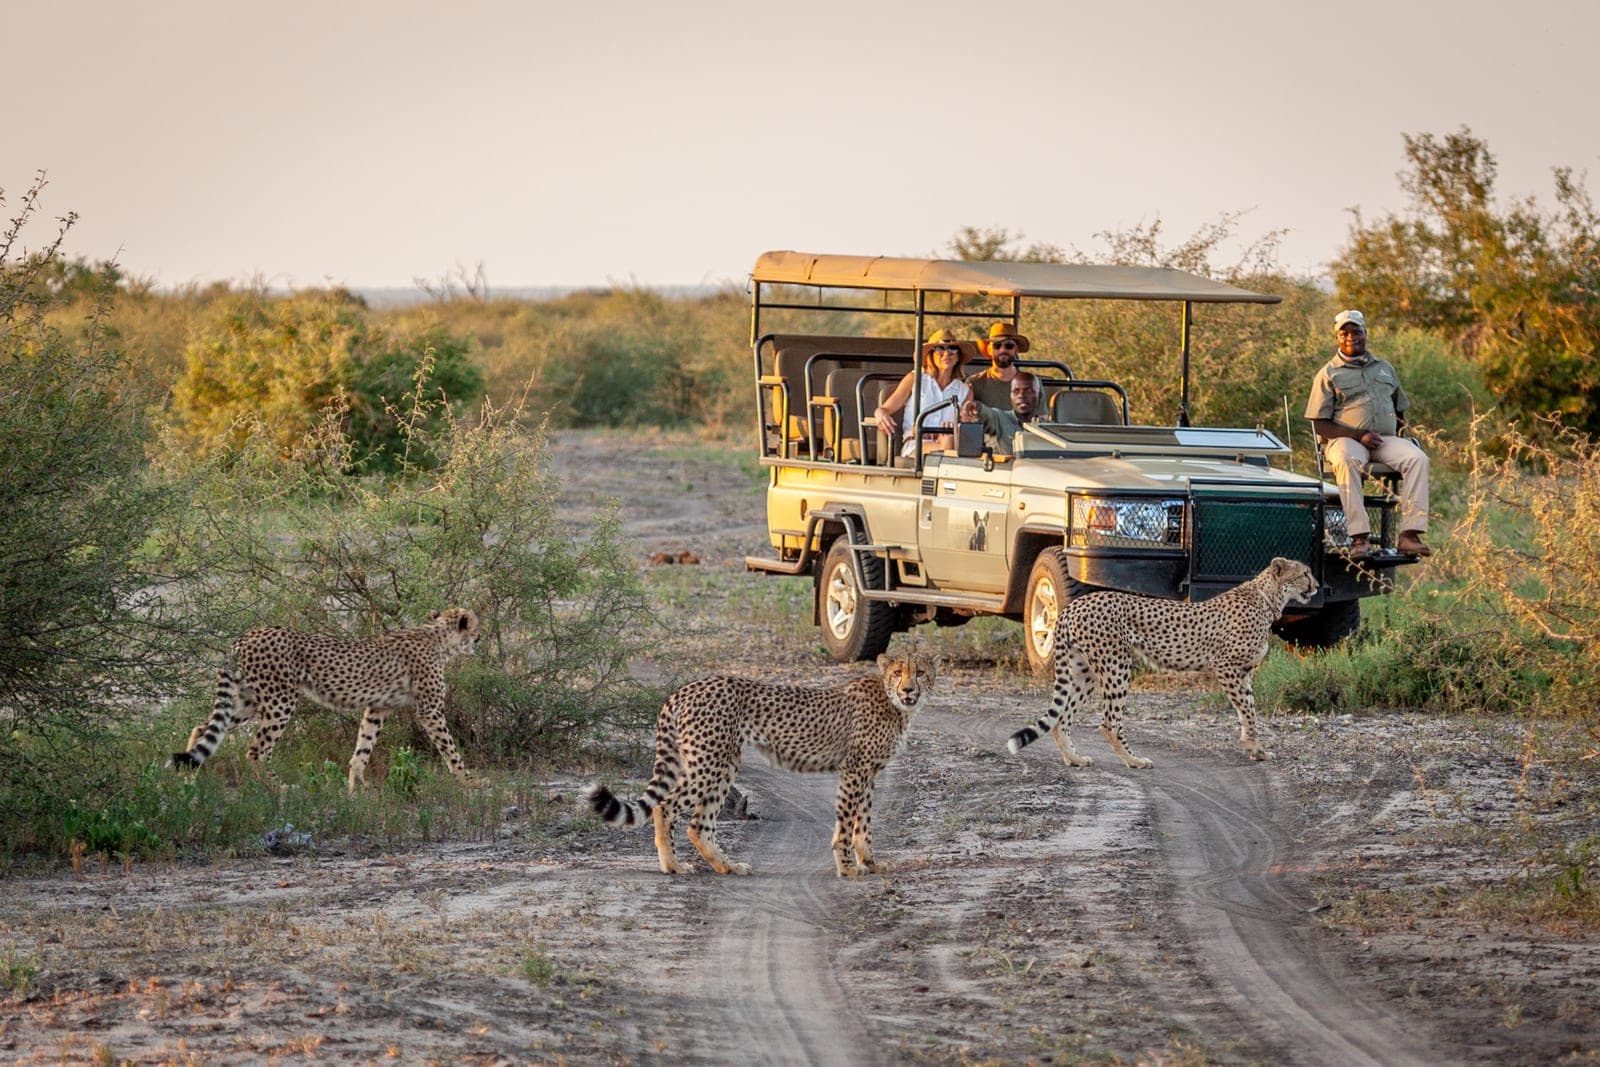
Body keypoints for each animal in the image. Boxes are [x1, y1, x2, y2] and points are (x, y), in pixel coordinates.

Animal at [170, 608, 481, 793]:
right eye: (476, 629)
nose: (479, 639)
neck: (439, 638)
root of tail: (246, 635)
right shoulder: (430, 711)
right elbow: (450, 750)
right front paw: (469, 781)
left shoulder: (377, 708)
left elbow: (363, 748)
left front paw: (357, 788)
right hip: (280, 699)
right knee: (256, 750)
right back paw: (282, 789)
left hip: (249, 700)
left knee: (203, 728)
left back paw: (187, 781)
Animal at [586, 652, 936, 878]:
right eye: (898, 673)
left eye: (919, 672)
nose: (908, 689)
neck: (894, 704)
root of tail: (684, 688)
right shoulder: (854, 770)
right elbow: (848, 823)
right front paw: (848, 868)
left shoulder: (868, 773)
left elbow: (864, 823)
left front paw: (871, 863)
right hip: (709, 762)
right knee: (666, 806)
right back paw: (673, 866)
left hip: (723, 763)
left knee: (699, 823)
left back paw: (727, 866)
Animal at [1007, 557, 1318, 769]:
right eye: (1305, 573)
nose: (1315, 586)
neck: (1268, 598)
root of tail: (1075, 604)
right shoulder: (1226, 667)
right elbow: (1249, 712)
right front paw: (1254, 748)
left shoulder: (1244, 673)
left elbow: (1249, 710)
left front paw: (1256, 748)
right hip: (1116, 665)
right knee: (1108, 723)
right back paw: (1134, 761)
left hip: (1084, 670)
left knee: (1062, 718)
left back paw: (1074, 758)